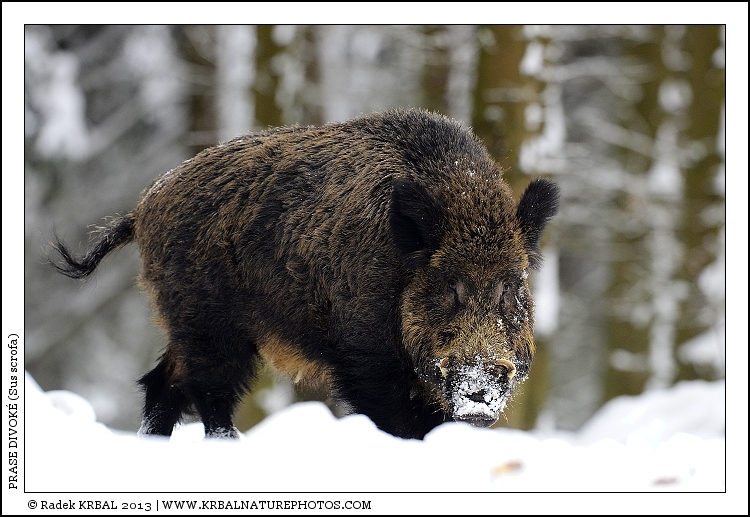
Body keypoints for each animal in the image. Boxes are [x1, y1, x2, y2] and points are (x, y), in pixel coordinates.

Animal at [50, 108, 559, 440]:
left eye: (512, 285)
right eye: (450, 282)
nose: (485, 376)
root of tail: (145, 205)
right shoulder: (364, 352)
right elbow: (400, 420)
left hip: (188, 322)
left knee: (163, 384)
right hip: (209, 321)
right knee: (206, 389)